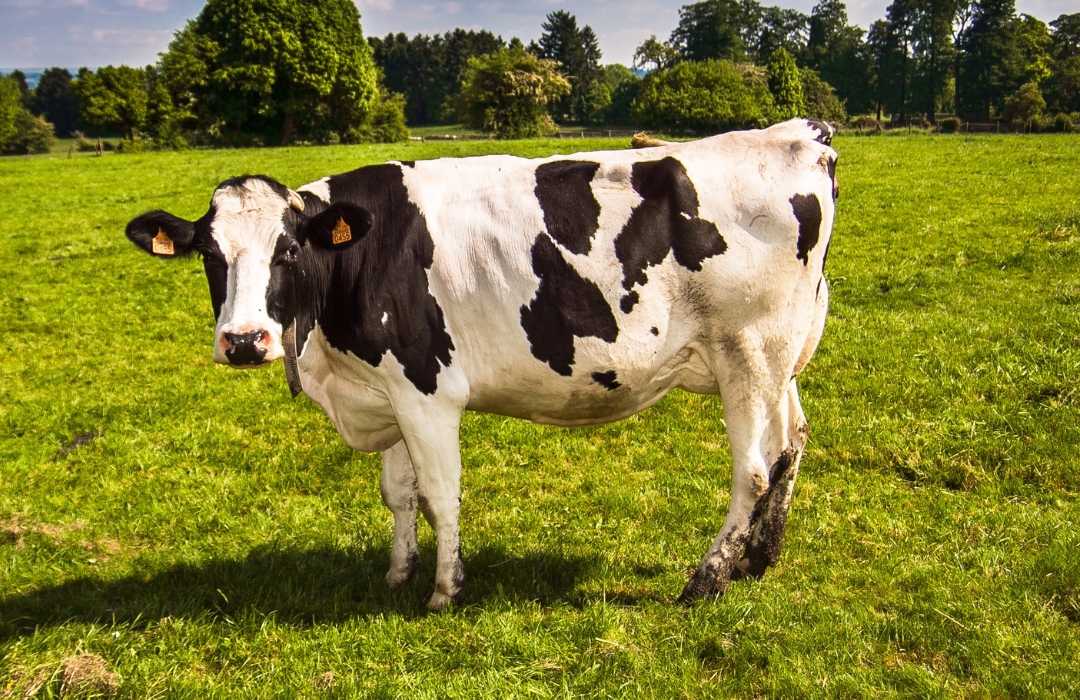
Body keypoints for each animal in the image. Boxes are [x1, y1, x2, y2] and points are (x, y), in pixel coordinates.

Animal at [124, 118, 833, 604]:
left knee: (755, 471)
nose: (245, 341)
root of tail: (800, 133)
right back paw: (760, 557)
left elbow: (440, 493)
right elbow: (398, 493)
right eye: (210, 255)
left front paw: (445, 588)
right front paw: (397, 573)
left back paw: (707, 579)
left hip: (747, 354)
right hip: (780, 358)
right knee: (791, 443)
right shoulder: (387, 389)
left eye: (289, 250)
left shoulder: (425, 390)